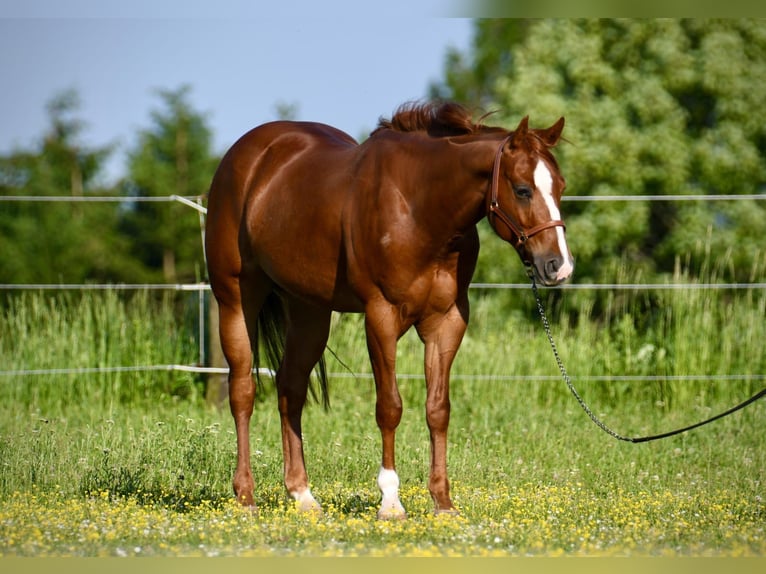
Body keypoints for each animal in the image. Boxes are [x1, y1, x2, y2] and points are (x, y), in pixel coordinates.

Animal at [204, 101, 573, 519]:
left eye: (560, 187)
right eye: (523, 189)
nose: (558, 266)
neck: (419, 209)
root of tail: (246, 156)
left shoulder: (447, 322)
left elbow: (438, 409)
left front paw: (443, 502)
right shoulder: (381, 317)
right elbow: (390, 407)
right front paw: (391, 501)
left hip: (309, 312)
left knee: (291, 388)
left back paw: (302, 495)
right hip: (236, 299)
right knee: (243, 391)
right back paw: (245, 496)